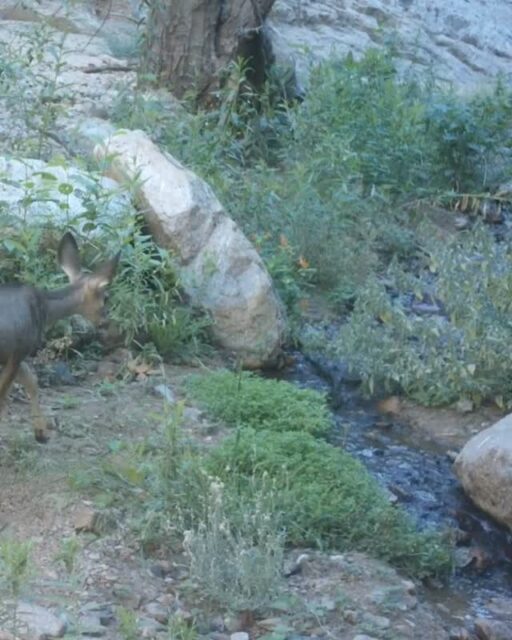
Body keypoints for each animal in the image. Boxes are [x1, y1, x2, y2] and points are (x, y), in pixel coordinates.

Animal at [0, 232, 120, 443]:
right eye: (106, 297)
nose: (110, 325)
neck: (46, 309)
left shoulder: (10, 354)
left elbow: (32, 381)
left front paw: (41, 432)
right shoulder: (19, 350)